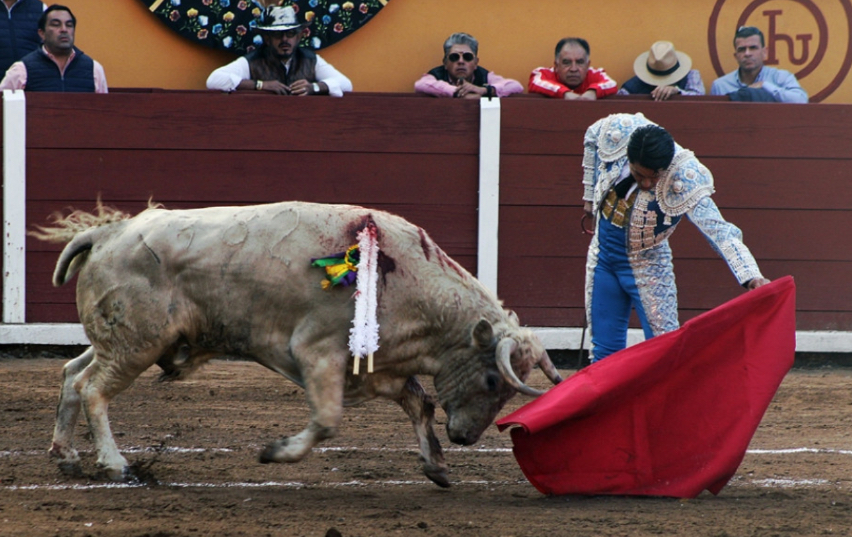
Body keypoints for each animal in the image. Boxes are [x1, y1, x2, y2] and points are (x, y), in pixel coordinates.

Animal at [34, 201, 562, 487]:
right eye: (493, 379)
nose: (466, 438)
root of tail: (110, 230)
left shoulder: (380, 367)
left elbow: (421, 405)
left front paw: (437, 465)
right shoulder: (319, 354)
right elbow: (327, 421)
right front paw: (276, 453)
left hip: (119, 341)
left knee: (72, 374)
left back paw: (67, 456)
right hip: (136, 343)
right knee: (93, 389)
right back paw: (116, 465)